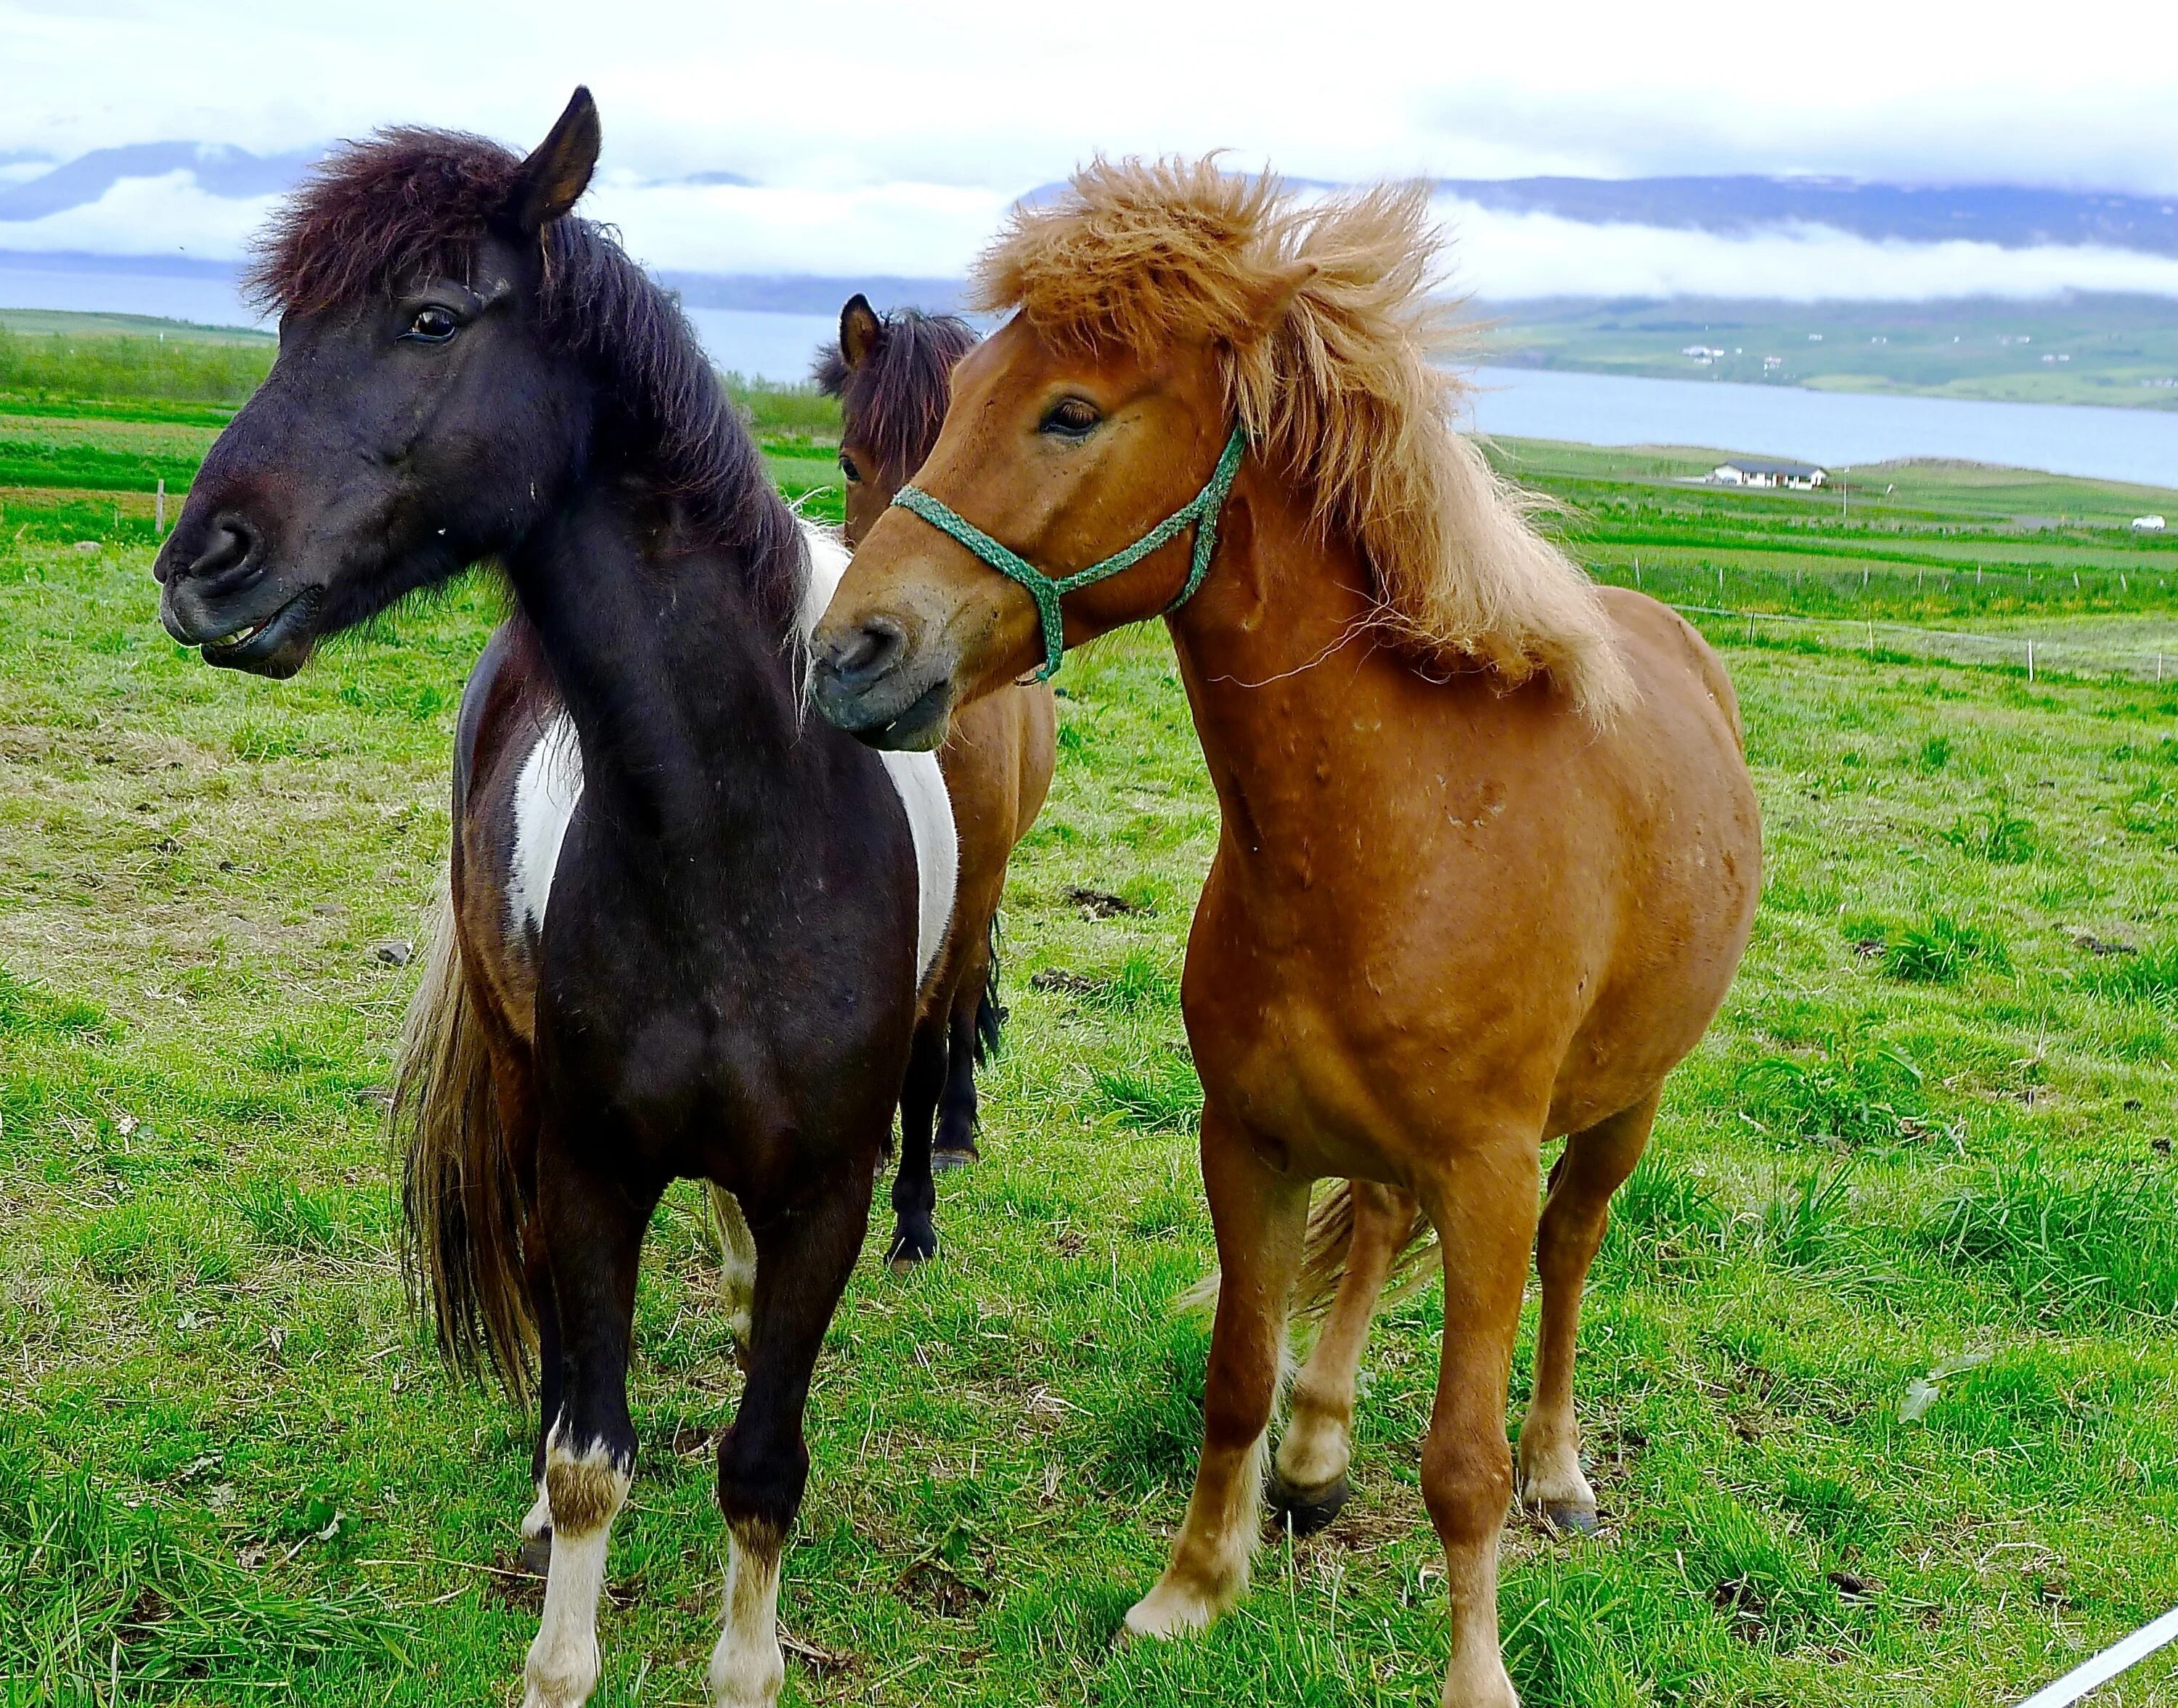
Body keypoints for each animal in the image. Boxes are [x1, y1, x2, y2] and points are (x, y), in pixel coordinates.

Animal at [151, 89, 937, 1708]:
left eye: (430, 318)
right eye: (284, 329)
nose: (202, 566)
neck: (739, 839)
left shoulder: (824, 1196)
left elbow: (762, 1468)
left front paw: (746, 1658)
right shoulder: (590, 1165)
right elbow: (590, 1450)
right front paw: (559, 1639)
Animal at [810, 153, 1760, 1699]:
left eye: (1071, 410)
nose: (850, 655)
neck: (1398, 828)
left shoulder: (1489, 1176)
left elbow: (1461, 1458)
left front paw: (1476, 1669)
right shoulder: (1247, 1139)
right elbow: (1237, 1371)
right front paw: (1195, 1586)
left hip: (1627, 1106)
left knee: (1572, 1256)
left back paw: (1562, 1472)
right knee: (1372, 1228)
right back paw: (1317, 1448)